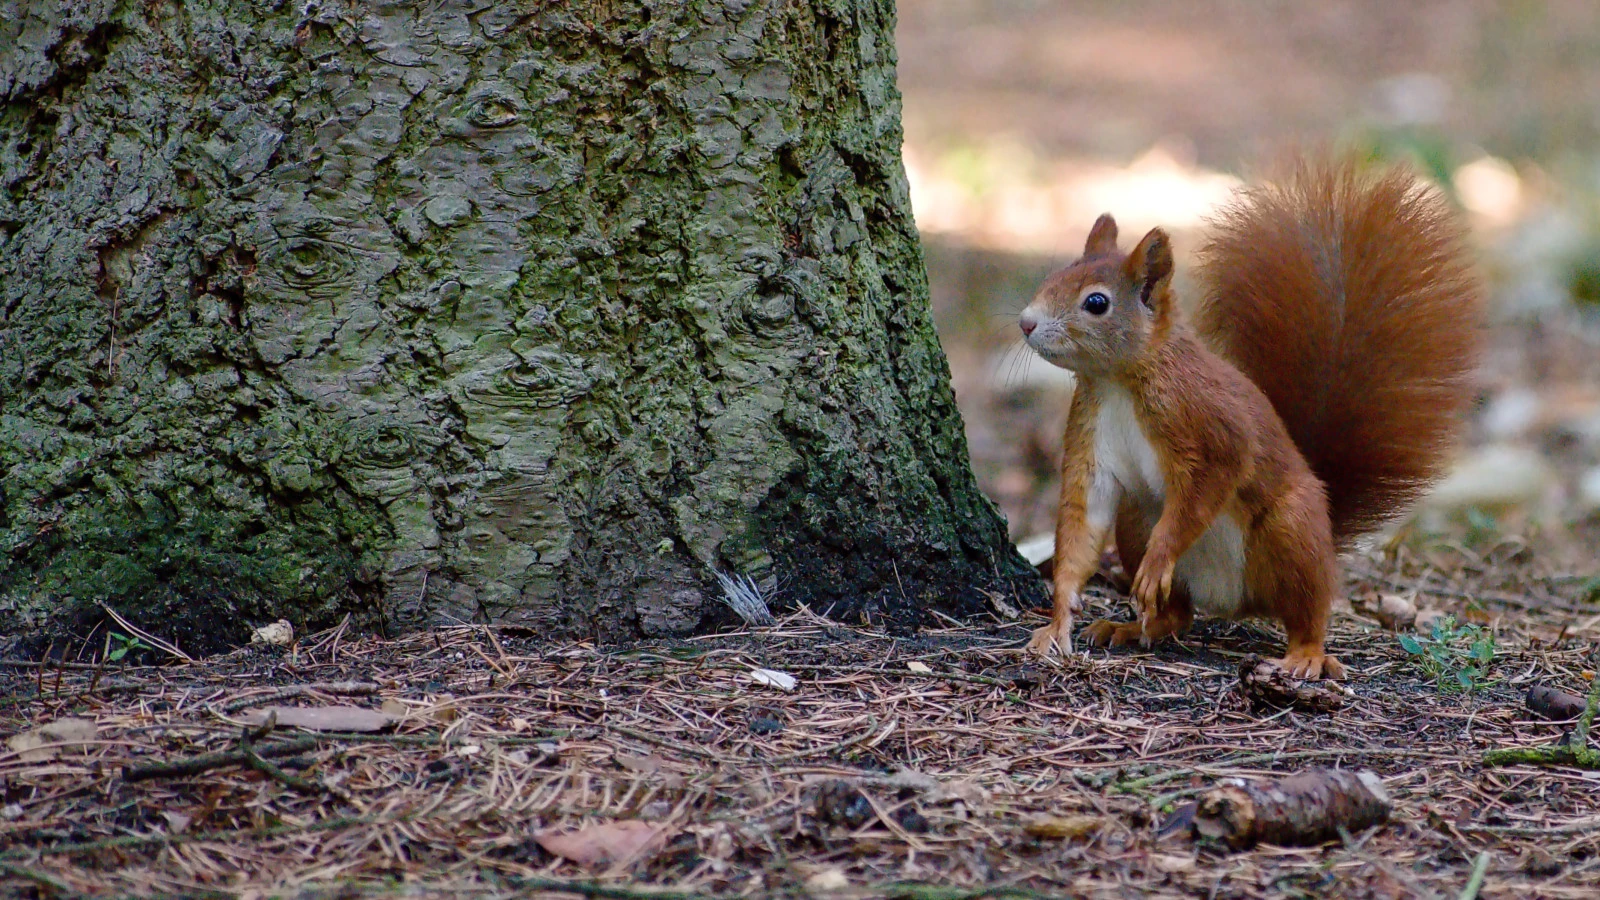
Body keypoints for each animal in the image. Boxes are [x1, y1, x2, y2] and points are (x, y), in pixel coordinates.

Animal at [1016, 155, 1482, 679]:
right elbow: (1082, 522)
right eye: (1053, 278)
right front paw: (1058, 620)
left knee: (1308, 610)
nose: (1026, 322)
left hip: (1291, 529)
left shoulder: (1208, 421)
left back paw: (1306, 654)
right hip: (1136, 521)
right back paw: (1132, 627)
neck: (1118, 380)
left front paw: (1159, 559)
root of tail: (1233, 601)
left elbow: (1210, 483)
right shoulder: (1091, 433)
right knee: (1180, 615)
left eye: (1096, 303)